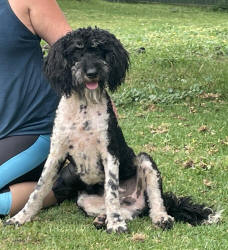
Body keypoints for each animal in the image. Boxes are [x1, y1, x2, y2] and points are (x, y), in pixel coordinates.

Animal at [6, 26, 221, 232]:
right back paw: (103, 219)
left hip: (145, 161)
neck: (84, 107)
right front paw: (21, 217)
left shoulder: (109, 153)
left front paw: (116, 224)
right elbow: (38, 189)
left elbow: (111, 191)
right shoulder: (56, 153)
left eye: (100, 50)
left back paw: (159, 217)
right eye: (77, 51)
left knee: (152, 201)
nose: (92, 72)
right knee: (127, 211)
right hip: (83, 198)